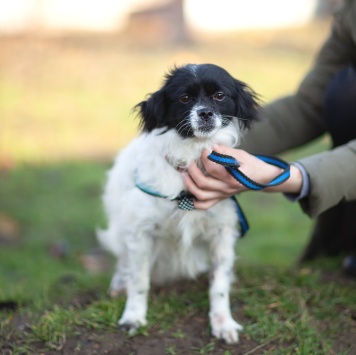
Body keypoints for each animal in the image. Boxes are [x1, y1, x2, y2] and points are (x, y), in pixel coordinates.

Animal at [97, 64, 258, 344]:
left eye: (219, 96)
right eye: (184, 98)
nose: (205, 113)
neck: (190, 157)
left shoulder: (222, 233)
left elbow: (219, 285)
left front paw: (223, 322)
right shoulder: (140, 232)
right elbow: (139, 281)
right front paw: (133, 317)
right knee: (123, 260)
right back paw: (118, 284)